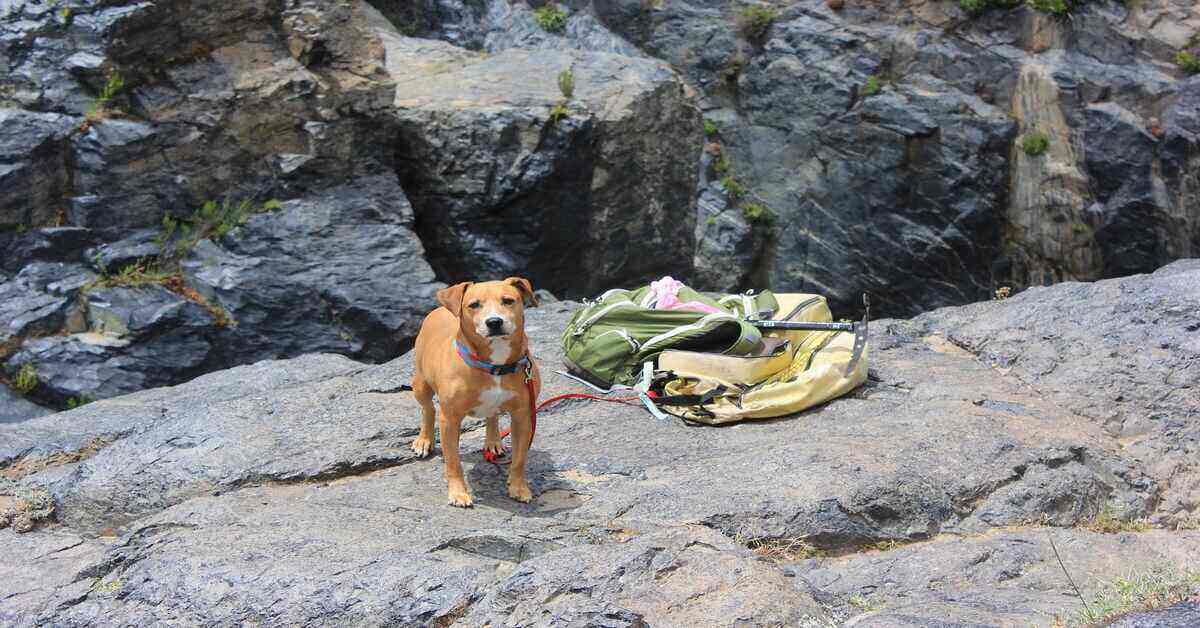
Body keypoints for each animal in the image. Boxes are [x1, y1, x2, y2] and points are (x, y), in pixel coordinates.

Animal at [412, 277, 544, 509]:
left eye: (508, 300)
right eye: (474, 305)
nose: (494, 322)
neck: (495, 366)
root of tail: (441, 308)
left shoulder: (523, 416)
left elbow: (519, 459)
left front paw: (519, 487)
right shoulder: (450, 419)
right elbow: (453, 462)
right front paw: (458, 493)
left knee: (492, 416)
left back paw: (493, 441)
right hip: (420, 384)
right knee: (428, 409)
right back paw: (424, 440)